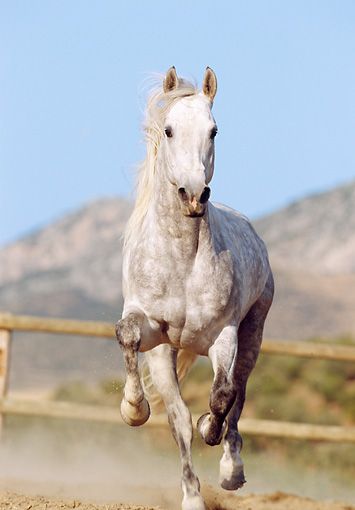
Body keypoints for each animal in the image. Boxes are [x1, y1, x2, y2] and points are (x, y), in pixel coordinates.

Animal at [115, 67, 274, 510]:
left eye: (213, 130)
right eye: (168, 130)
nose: (194, 195)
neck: (183, 262)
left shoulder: (225, 336)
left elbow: (222, 396)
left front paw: (210, 429)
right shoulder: (154, 336)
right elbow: (127, 335)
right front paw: (133, 409)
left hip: (253, 334)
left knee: (238, 396)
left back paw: (231, 470)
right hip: (168, 352)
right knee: (181, 417)